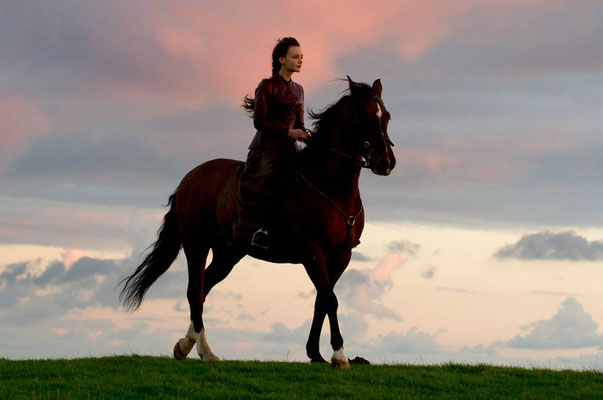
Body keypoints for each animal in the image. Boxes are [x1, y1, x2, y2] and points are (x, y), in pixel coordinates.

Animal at [121, 76, 396, 368]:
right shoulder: (312, 251)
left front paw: (315, 353)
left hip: (227, 253)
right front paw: (340, 354)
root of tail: (190, 178)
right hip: (197, 245)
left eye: (387, 116)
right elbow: (330, 299)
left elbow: (322, 300)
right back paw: (200, 349)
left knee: (204, 288)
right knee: (195, 291)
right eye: (364, 116)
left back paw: (190, 346)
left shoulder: (341, 255)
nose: (386, 162)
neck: (329, 186)